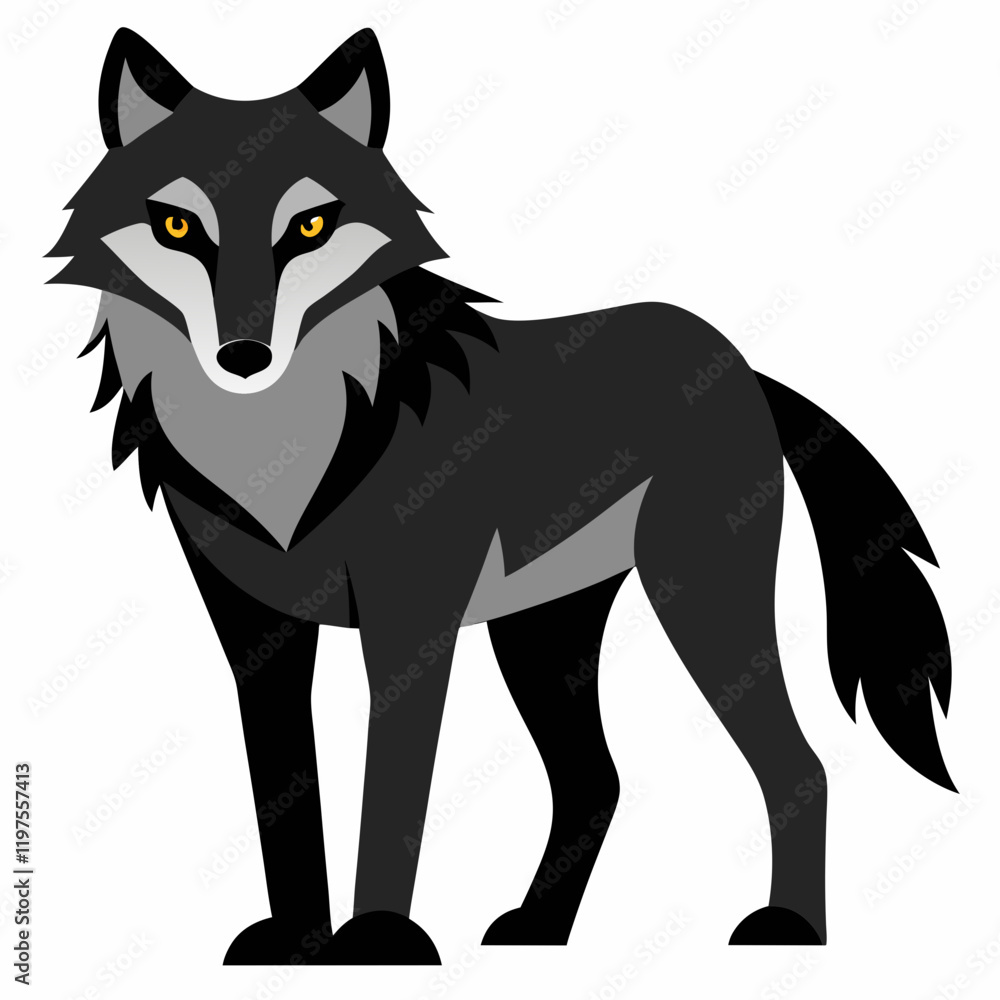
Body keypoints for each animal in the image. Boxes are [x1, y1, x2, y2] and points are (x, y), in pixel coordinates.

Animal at [49, 27, 954, 964]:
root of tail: (743, 365)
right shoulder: (256, 635)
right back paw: (539, 932)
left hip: (697, 597)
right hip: (543, 637)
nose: (244, 356)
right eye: (178, 226)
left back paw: (791, 931)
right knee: (597, 781)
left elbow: (394, 793)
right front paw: (298, 944)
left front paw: (378, 942)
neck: (289, 456)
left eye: (309, 226)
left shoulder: (411, 627)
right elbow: (283, 796)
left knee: (799, 767)